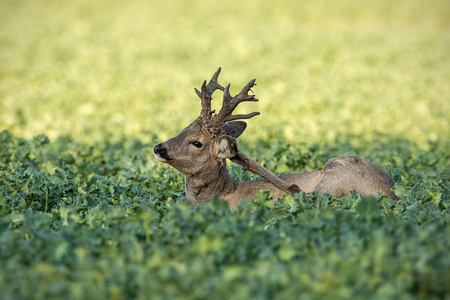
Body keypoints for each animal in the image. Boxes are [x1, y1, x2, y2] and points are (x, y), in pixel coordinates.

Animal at [155, 68, 398, 210]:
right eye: (182, 129)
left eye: (197, 142)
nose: (158, 148)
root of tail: (391, 191)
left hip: (336, 172)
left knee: (304, 195)